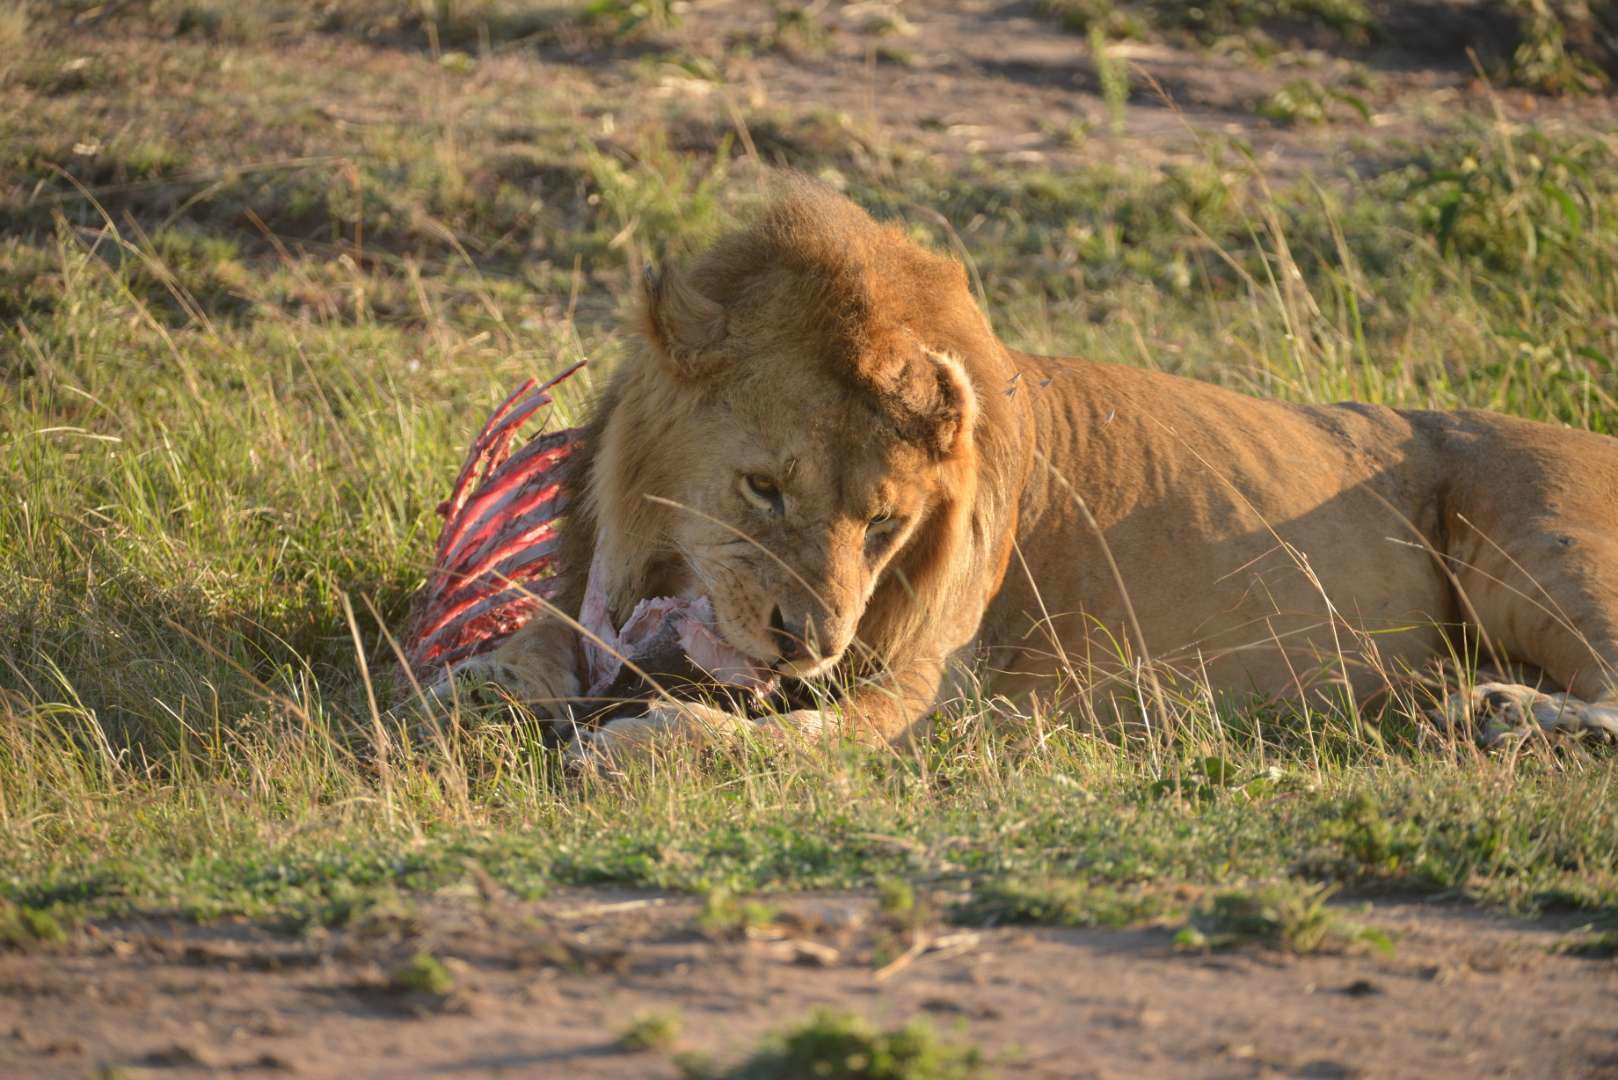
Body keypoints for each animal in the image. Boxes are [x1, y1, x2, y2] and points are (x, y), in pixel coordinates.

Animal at [440, 177, 1618, 761]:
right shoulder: (586, 594)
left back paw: (1503, 713)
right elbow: (527, 649)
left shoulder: (919, 687)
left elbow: (786, 743)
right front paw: (474, 687)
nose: (808, 644)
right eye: (762, 488)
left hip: (1539, 535)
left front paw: (645, 741)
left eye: (883, 527)